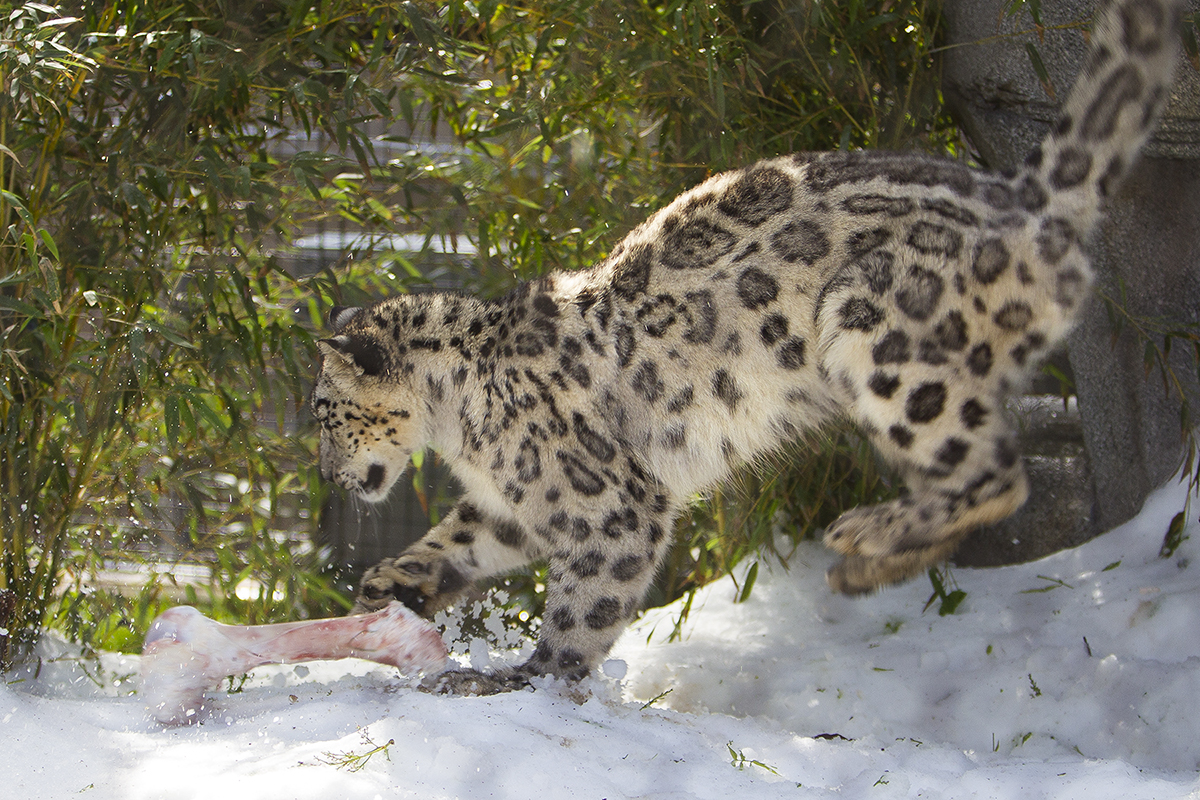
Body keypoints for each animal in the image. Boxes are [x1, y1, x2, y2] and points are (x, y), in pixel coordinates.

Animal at [307, 0, 1180, 695]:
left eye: (322, 415)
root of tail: (1019, 195)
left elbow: (584, 602)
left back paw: (865, 543)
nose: (326, 474)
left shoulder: (608, 501)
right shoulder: (513, 502)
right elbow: (458, 538)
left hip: (882, 331)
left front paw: (529, 676)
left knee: (994, 472)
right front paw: (391, 583)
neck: (458, 425)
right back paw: (874, 560)